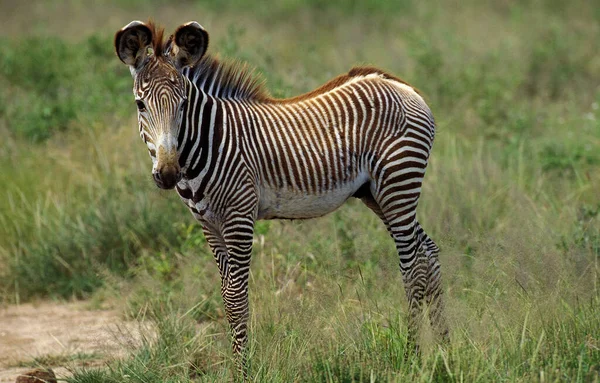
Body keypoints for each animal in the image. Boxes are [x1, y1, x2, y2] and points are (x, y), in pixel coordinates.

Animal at [115, 20, 448, 376]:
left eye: (183, 104)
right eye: (140, 105)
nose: (167, 174)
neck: (208, 142)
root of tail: (405, 88)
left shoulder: (239, 216)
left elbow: (237, 298)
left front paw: (243, 373)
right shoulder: (208, 224)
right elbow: (225, 295)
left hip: (399, 182)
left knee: (412, 266)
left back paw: (412, 357)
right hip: (377, 194)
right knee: (428, 251)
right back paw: (445, 348)